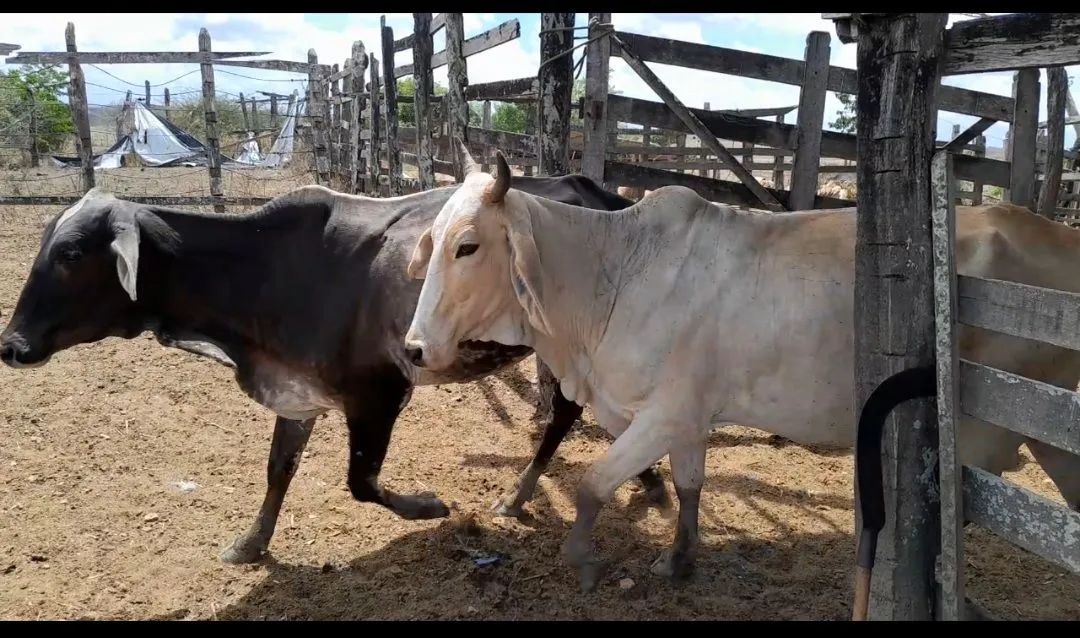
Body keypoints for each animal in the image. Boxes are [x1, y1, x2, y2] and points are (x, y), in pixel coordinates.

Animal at [0, 172, 669, 566]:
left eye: (69, 254)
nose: (10, 344)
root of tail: (604, 194)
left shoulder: (379, 393)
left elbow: (362, 483)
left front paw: (430, 508)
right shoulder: (298, 393)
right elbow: (278, 471)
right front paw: (251, 544)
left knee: (567, 413)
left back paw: (525, 492)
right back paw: (645, 481)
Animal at [402, 151, 1080, 591]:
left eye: (468, 245)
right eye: (431, 240)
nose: (413, 348)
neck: (611, 273)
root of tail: (1057, 236)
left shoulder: (665, 413)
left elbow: (593, 484)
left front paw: (585, 560)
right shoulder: (684, 418)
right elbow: (688, 486)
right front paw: (679, 560)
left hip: (990, 432)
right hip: (1053, 434)